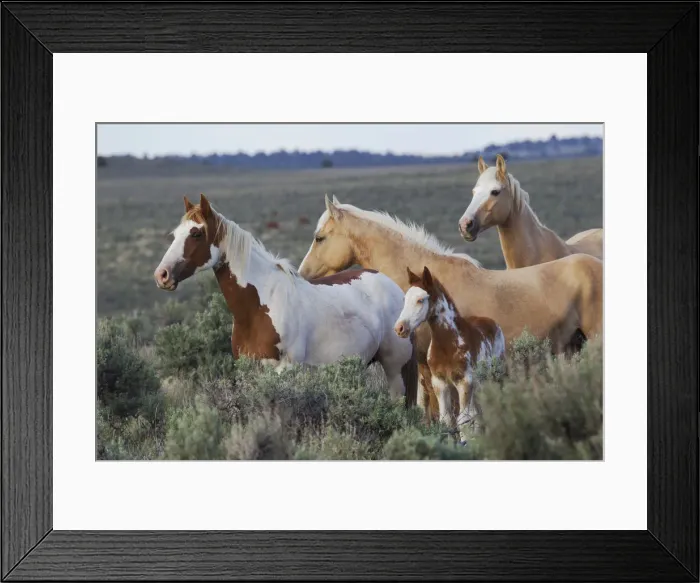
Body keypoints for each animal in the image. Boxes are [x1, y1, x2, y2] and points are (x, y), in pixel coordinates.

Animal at [153, 193, 419, 406]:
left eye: (196, 233)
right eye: (175, 234)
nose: (161, 275)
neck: (259, 306)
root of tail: (395, 288)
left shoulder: (284, 370)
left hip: (395, 369)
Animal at [394, 266, 505, 434]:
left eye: (420, 300)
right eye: (405, 299)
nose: (400, 328)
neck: (447, 346)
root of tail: (492, 323)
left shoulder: (464, 381)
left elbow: (464, 420)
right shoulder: (439, 383)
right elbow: (446, 420)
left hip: (493, 378)